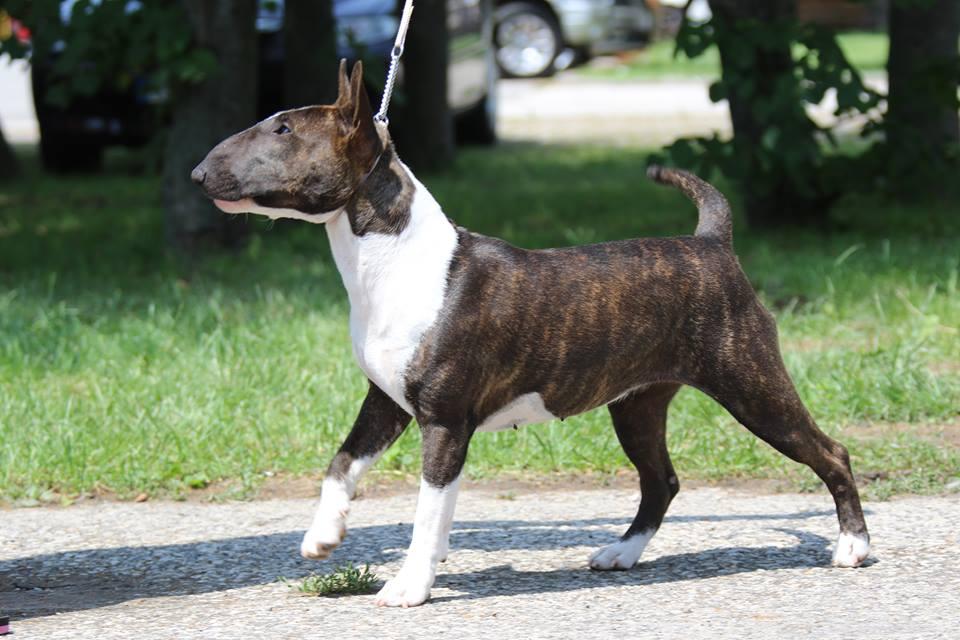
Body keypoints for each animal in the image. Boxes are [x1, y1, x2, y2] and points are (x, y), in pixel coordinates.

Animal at [191, 60, 871, 607]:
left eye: (284, 130)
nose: (197, 172)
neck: (394, 259)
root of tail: (711, 242)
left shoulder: (445, 421)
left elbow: (428, 511)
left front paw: (409, 586)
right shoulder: (386, 401)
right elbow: (342, 462)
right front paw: (322, 535)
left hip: (750, 382)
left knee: (829, 452)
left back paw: (853, 547)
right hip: (637, 403)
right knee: (662, 480)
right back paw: (622, 553)